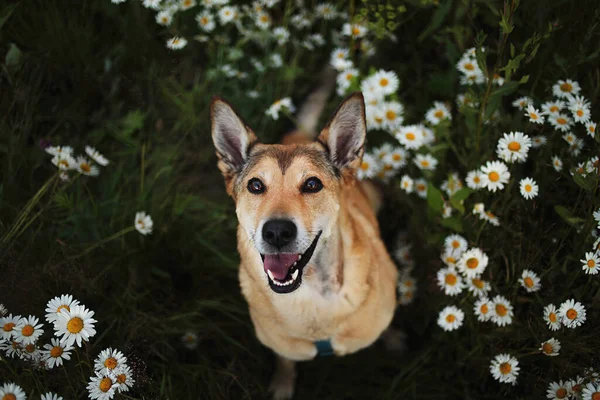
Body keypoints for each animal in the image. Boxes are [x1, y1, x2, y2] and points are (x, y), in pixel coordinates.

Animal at [211, 91, 398, 400]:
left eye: (312, 184)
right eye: (255, 185)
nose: (277, 232)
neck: (313, 300)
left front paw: (392, 337)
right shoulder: (283, 346)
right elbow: (286, 361)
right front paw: (283, 384)